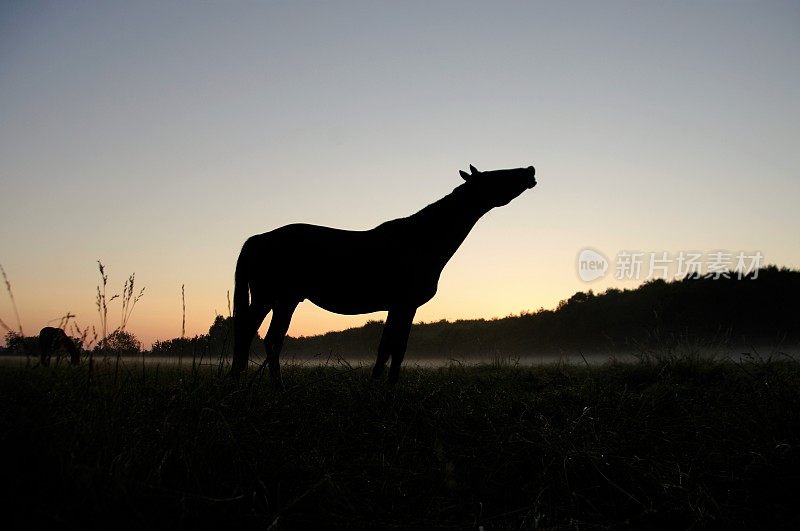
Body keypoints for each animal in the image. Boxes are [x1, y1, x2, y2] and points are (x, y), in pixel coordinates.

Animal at [234, 164, 540, 388]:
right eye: (495, 176)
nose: (529, 170)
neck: (422, 239)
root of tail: (257, 239)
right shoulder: (406, 305)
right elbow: (398, 349)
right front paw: (390, 391)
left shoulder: (396, 307)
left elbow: (386, 349)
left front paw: (375, 388)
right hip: (270, 299)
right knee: (251, 335)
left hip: (283, 302)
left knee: (269, 340)